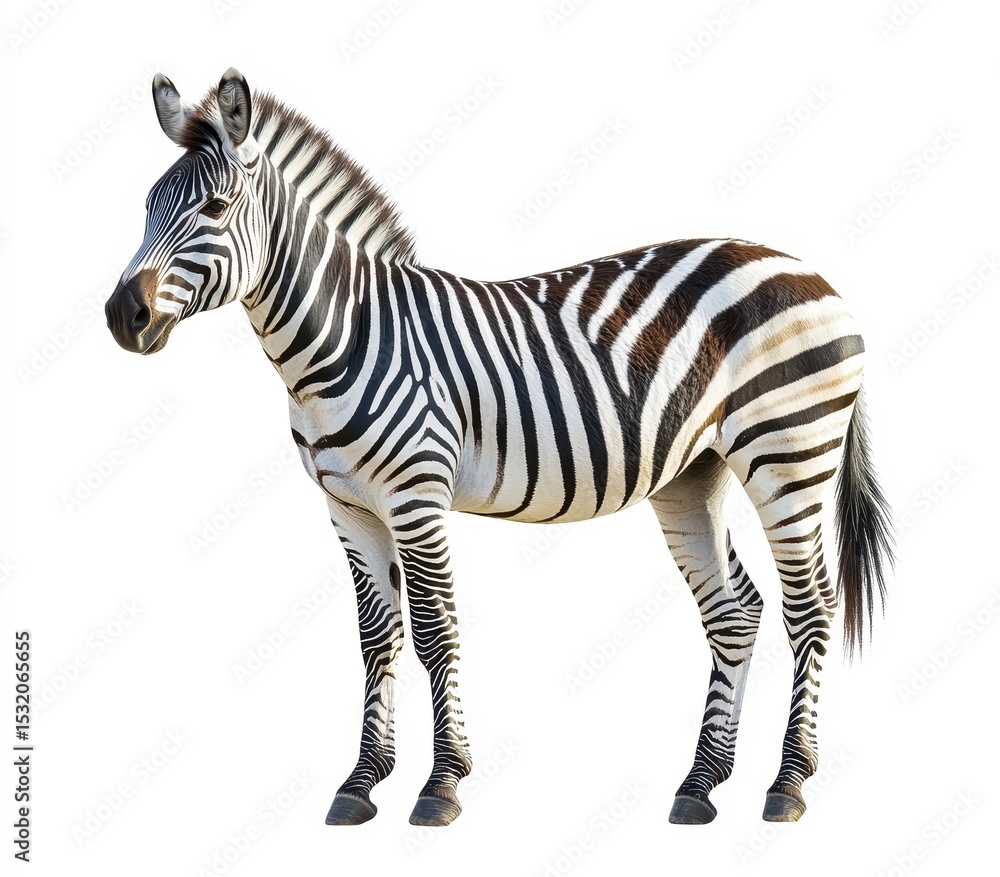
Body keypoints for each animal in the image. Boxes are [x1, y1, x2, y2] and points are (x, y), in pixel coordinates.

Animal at [105, 68, 894, 827]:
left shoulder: (415, 494)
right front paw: (361, 782)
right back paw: (699, 786)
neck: (343, 335)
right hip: (692, 474)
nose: (121, 315)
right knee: (735, 610)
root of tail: (812, 272)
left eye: (213, 210)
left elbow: (433, 630)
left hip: (789, 455)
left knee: (810, 607)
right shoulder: (348, 508)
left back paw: (788, 782)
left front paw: (442, 782)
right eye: (146, 206)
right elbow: (375, 637)